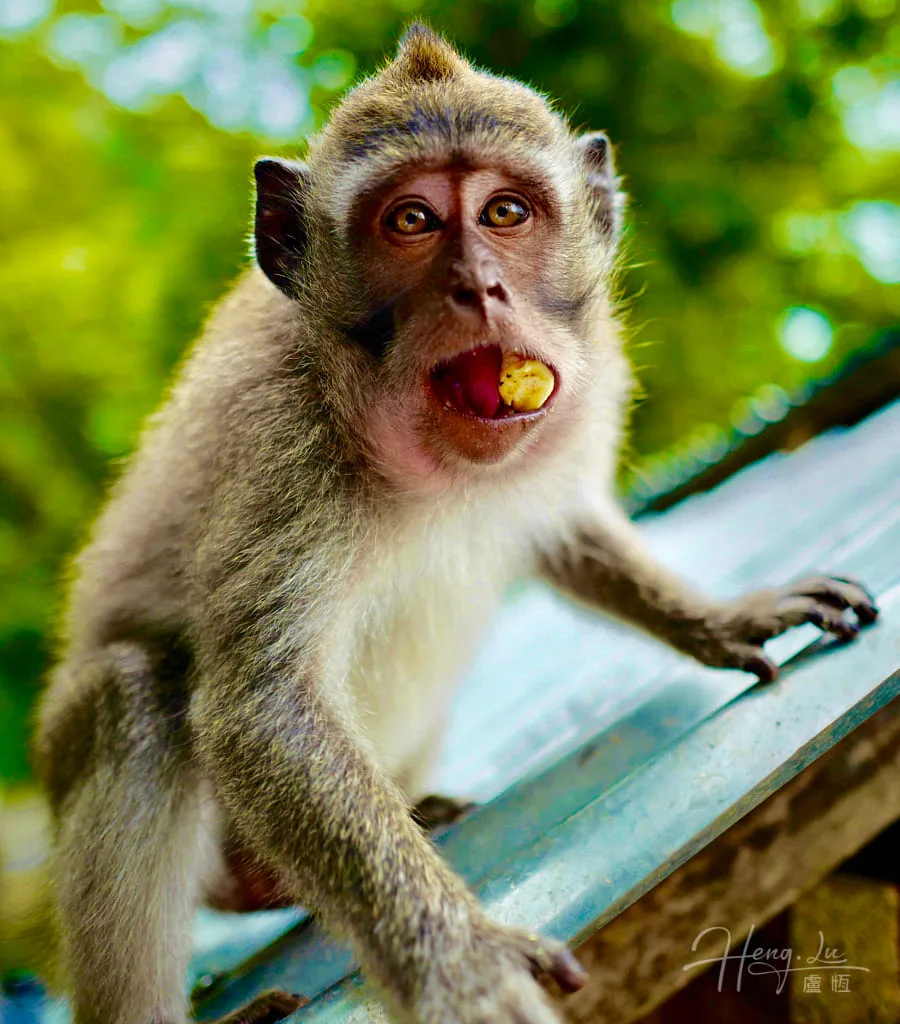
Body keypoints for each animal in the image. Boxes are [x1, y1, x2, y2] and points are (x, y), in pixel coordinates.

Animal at [33, 24, 878, 1024]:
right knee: (132, 697)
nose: (479, 286)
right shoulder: (286, 447)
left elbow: (566, 527)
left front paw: (725, 617)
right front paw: (459, 963)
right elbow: (263, 712)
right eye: (412, 222)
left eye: (506, 212)